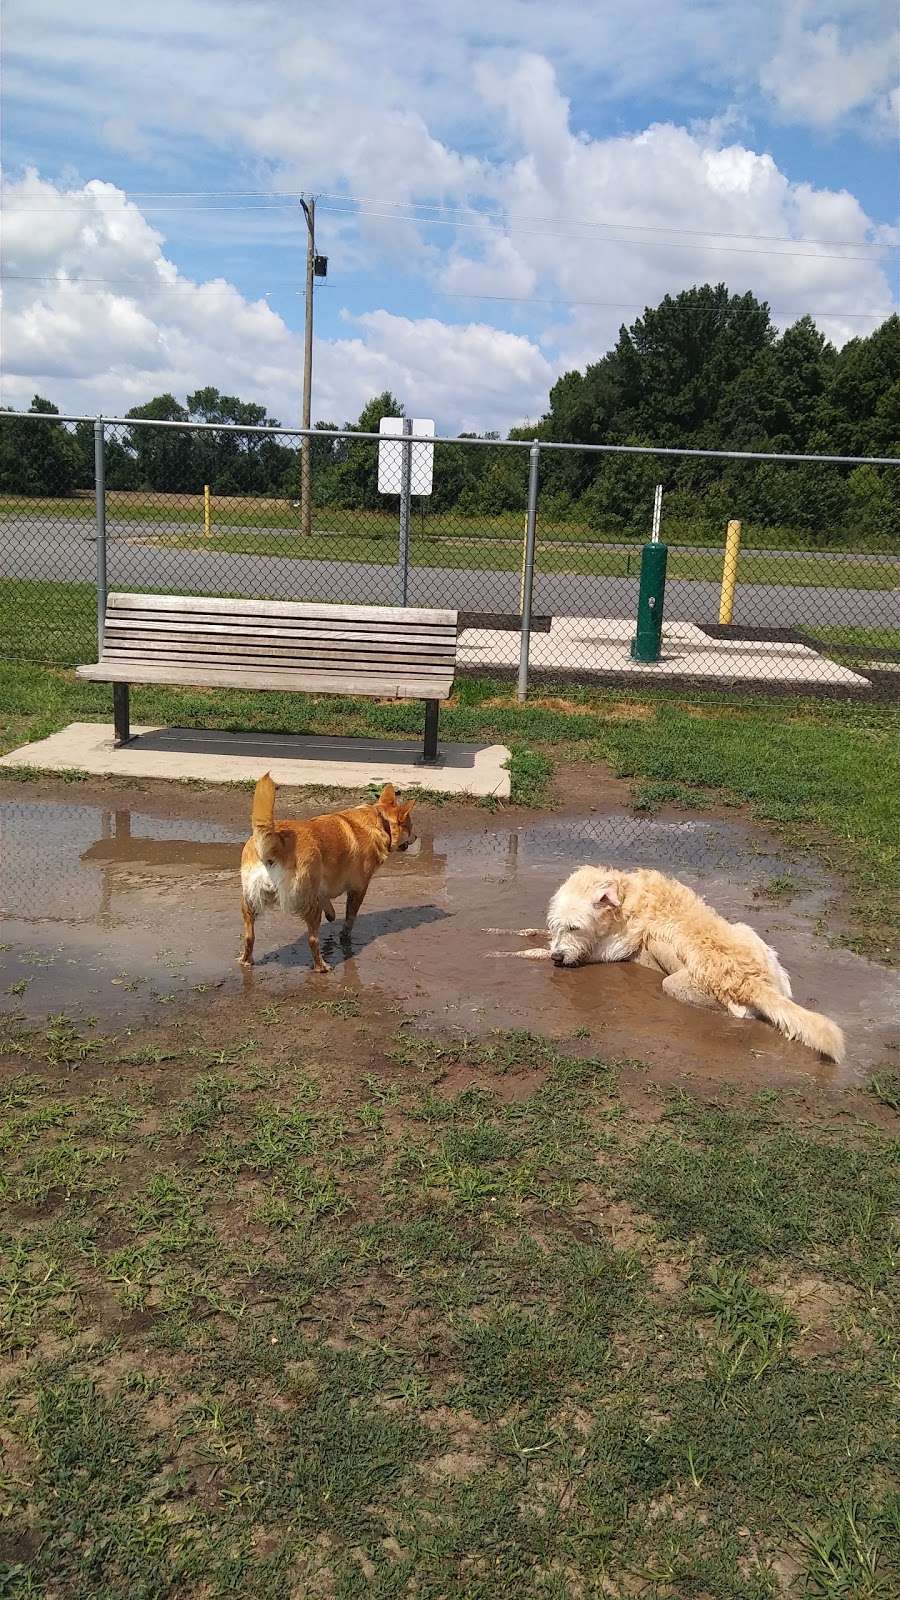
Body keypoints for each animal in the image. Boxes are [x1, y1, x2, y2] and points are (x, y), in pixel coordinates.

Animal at [237, 771, 416, 966]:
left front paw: (331, 914)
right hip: (309, 904)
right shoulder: (358, 888)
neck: (380, 821)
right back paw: (321, 966)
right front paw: (345, 937)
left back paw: (246, 960)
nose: (415, 837)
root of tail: (275, 843)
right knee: (312, 940)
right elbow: (350, 918)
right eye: (411, 827)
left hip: (250, 901)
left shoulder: (322, 887)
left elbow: (329, 905)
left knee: (249, 937)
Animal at [512, 864, 839, 1062]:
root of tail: (751, 982)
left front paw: (530, 953)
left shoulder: (615, 947)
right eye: (559, 926)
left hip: (678, 984)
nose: (558, 957)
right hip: (751, 935)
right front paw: (529, 936)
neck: (627, 897)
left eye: (575, 927)